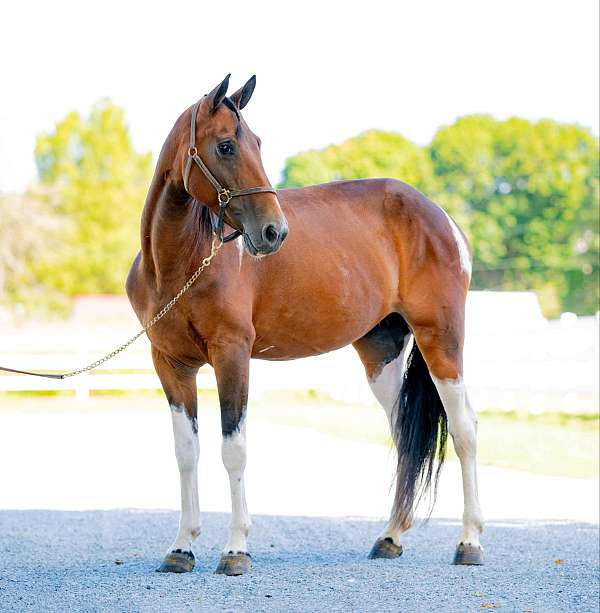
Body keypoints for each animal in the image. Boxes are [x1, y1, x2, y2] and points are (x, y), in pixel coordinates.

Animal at [125, 75, 482, 572]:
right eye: (226, 146)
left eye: (256, 142)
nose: (274, 232)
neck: (182, 262)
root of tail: (441, 218)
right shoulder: (171, 364)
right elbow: (186, 453)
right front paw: (181, 548)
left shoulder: (232, 356)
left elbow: (233, 450)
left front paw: (235, 549)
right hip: (382, 354)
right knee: (405, 437)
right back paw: (390, 537)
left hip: (442, 340)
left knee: (465, 427)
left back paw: (469, 542)